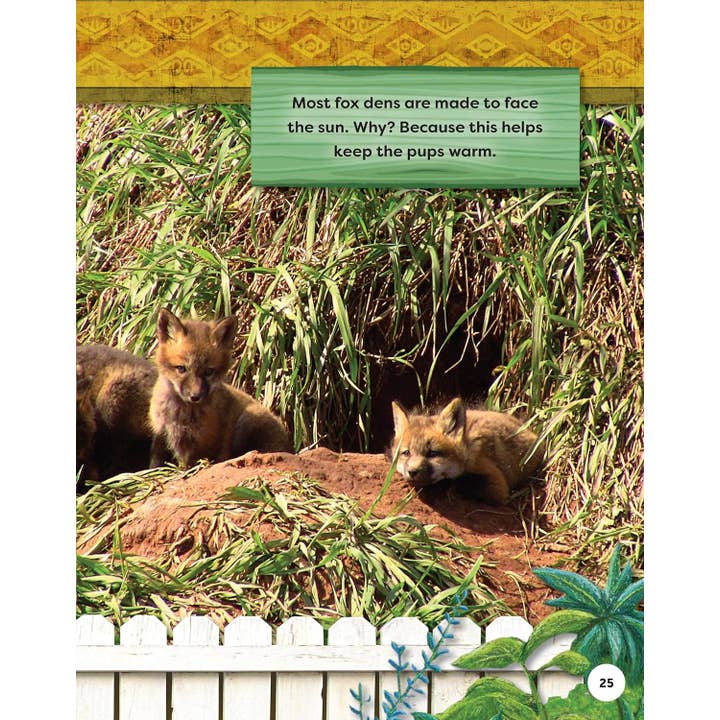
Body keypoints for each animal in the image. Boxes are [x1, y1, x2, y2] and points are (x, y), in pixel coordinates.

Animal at [149, 308, 292, 468]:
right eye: (181, 368)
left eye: (208, 371)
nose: (195, 396)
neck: (181, 414)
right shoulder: (161, 434)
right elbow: (155, 464)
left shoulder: (204, 443)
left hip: (246, 423)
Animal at [390, 397, 543, 505]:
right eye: (406, 453)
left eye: (432, 453)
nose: (412, 471)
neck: (467, 448)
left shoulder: (497, 485)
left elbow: (461, 483)